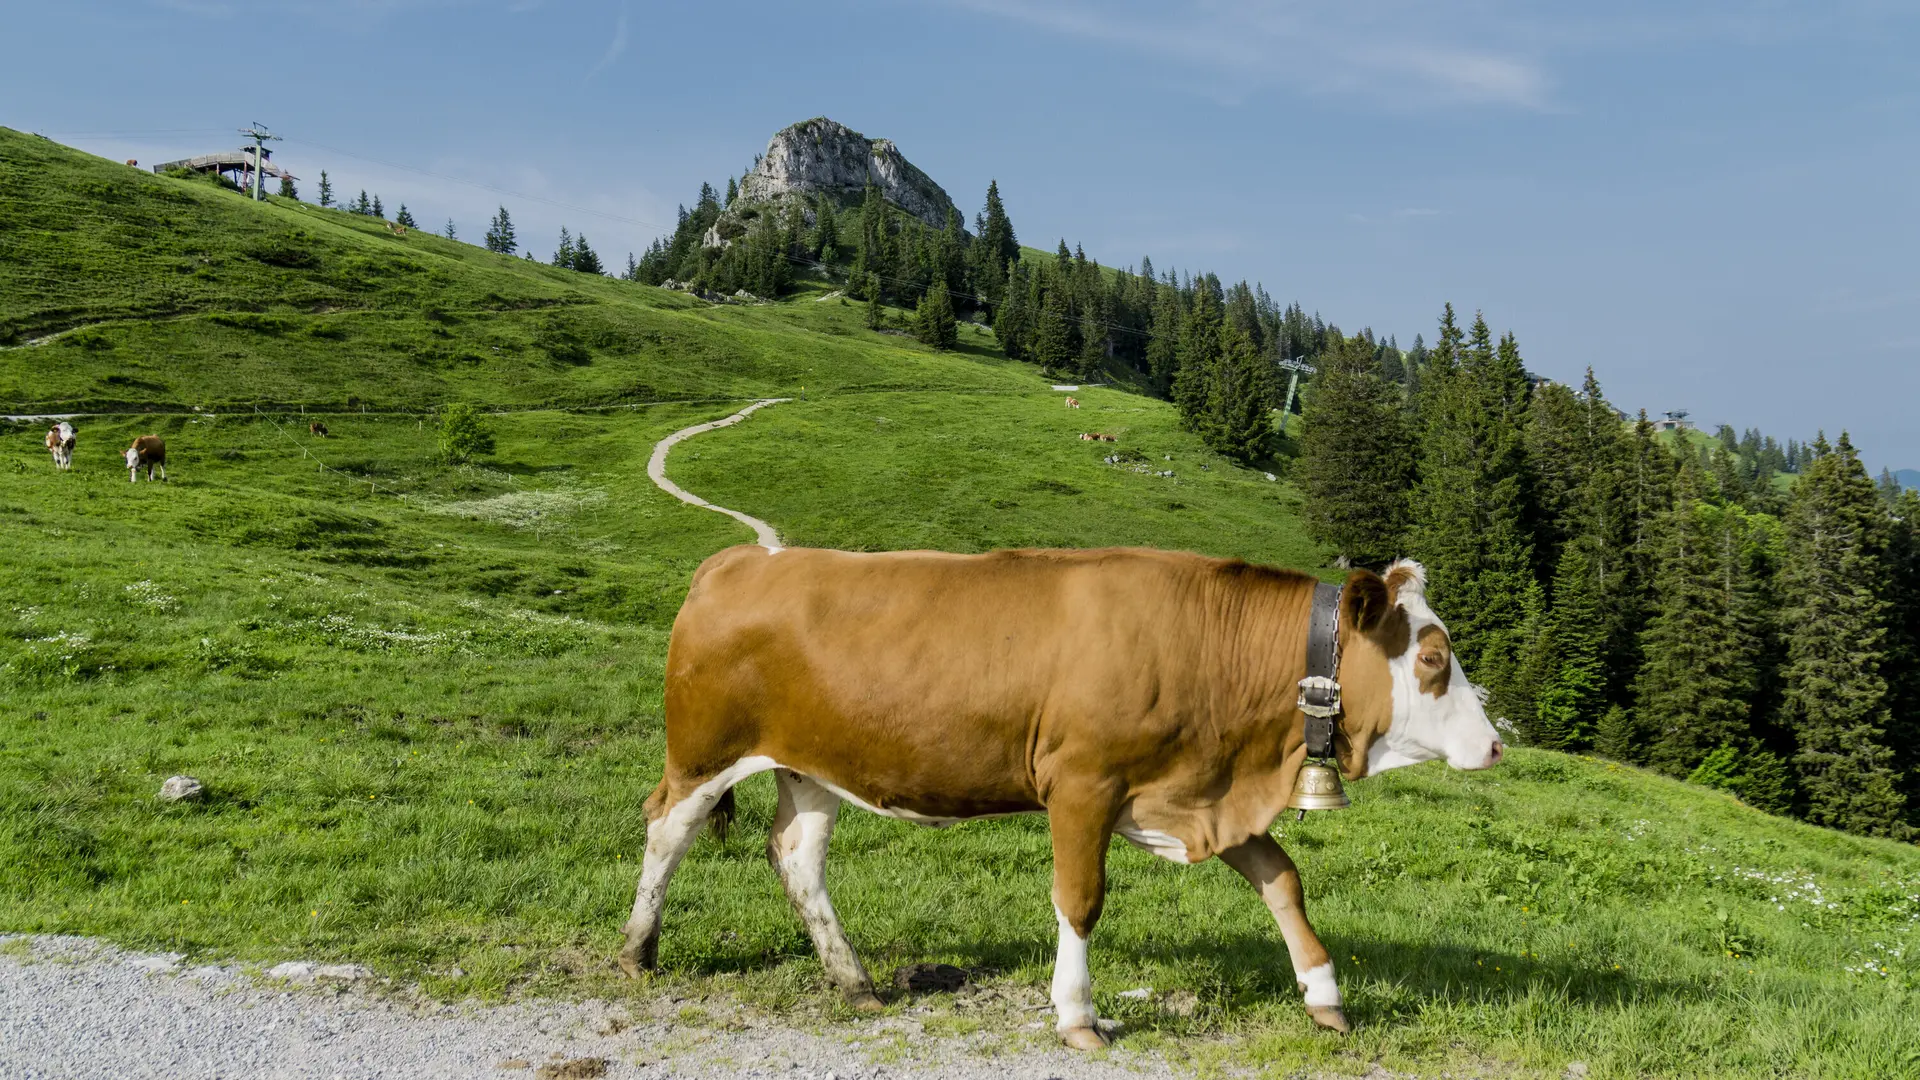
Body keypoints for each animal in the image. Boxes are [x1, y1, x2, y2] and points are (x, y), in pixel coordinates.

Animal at [619, 547, 1503, 1050]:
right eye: (1431, 657)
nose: (1496, 744)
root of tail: (737, 558)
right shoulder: (1083, 782)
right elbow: (1080, 898)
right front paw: (1078, 1016)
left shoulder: (1199, 788)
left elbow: (1282, 879)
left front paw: (1325, 996)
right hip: (703, 750)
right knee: (665, 829)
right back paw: (636, 952)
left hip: (812, 764)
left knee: (798, 857)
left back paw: (855, 980)